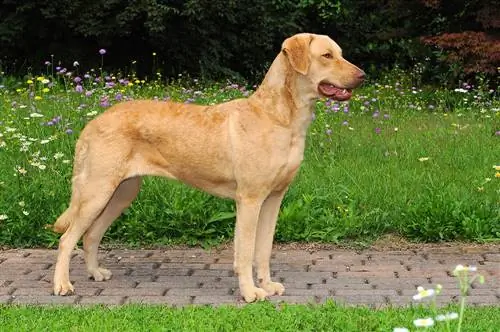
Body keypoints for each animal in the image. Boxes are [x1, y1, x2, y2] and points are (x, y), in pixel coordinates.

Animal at [51, 32, 364, 302]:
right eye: (326, 55)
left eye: (340, 54)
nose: (362, 75)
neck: (281, 116)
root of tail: (93, 122)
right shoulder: (249, 199)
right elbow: (246, 252)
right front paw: (250, 292)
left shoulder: (274, 198)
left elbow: (263, 250)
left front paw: (267, 285)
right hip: (97, 191)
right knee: (67, 239)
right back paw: (62, 285)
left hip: (121, 193)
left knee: (90, 235)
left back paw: (95, 273)